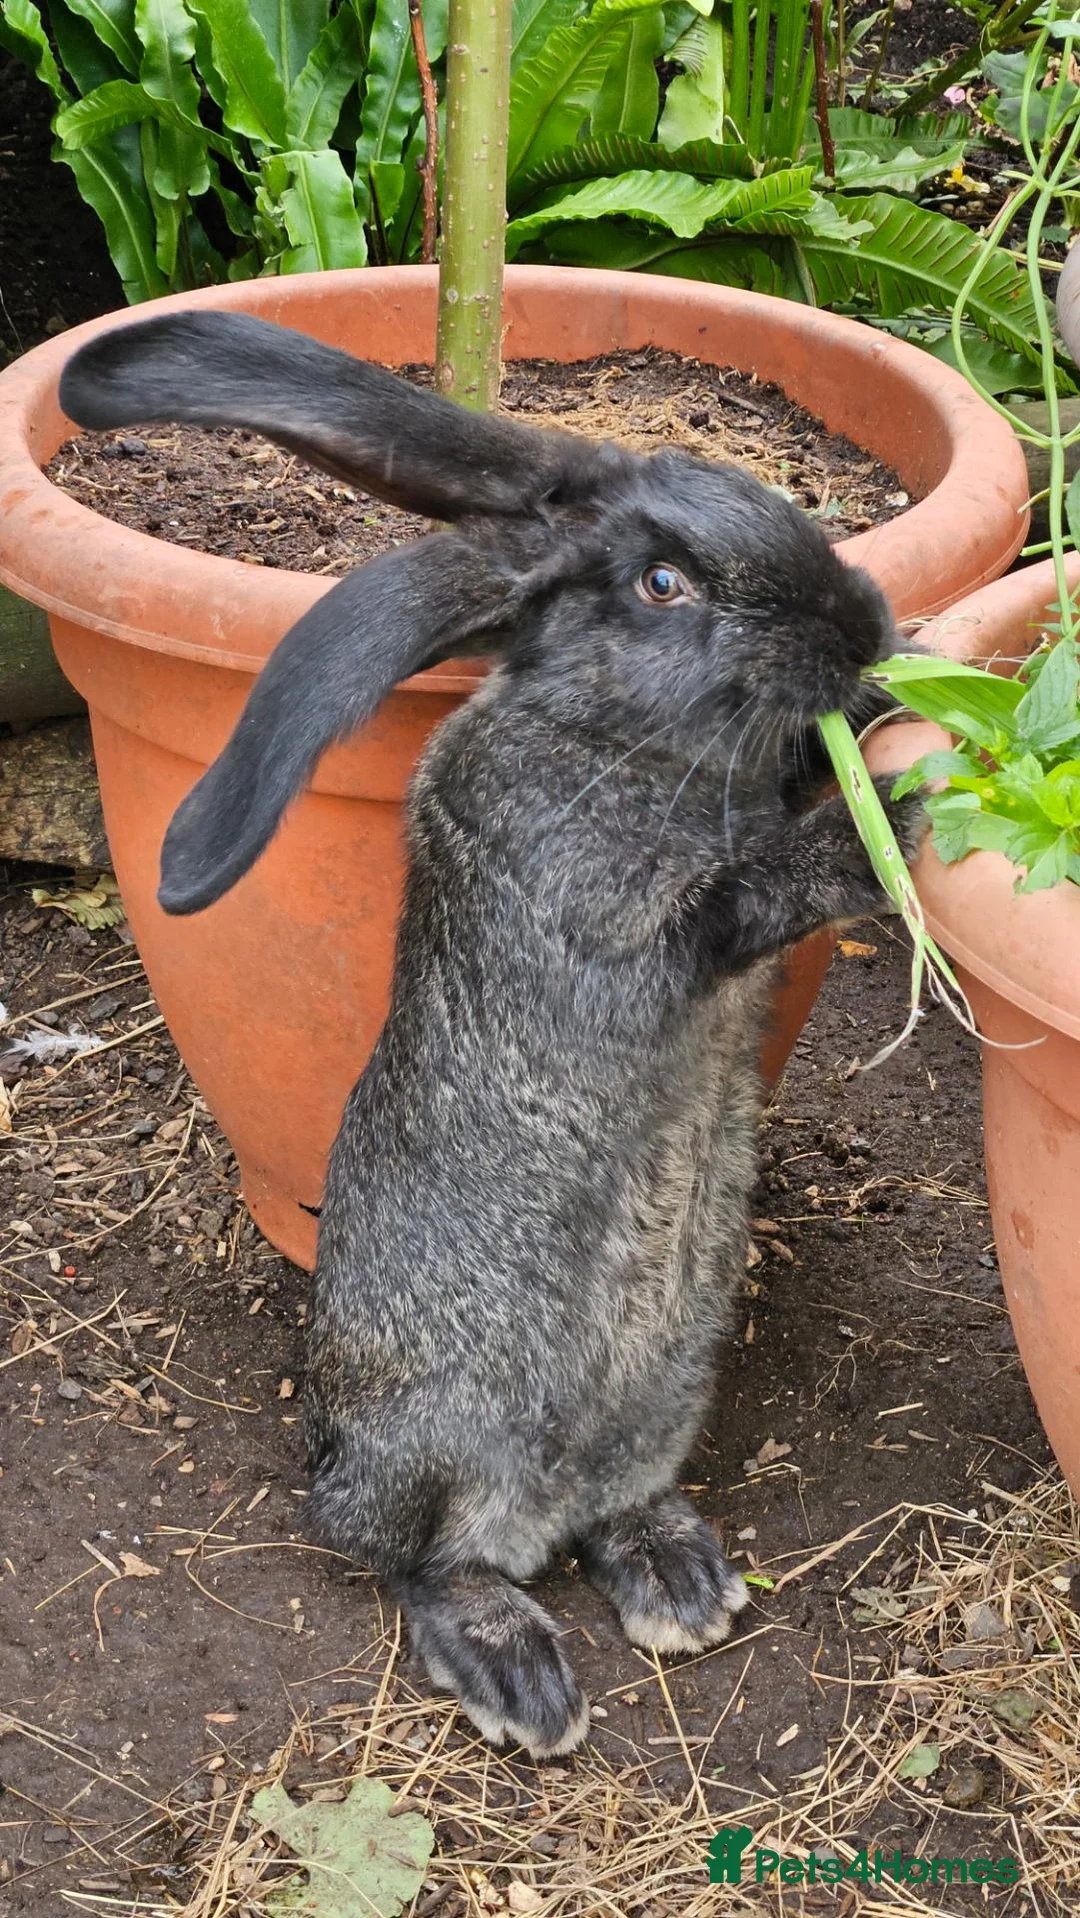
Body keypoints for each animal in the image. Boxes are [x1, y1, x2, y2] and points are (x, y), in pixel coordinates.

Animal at [60, 311, 925, 1758]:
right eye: (662, 583)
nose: (867, 621)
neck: (606, 731)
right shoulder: (606, 917)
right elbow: (744, 897)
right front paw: (894, 815)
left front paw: (892, 714)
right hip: (449, 1433)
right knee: (414, 1561)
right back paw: (521, 1673)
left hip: (666, 1388)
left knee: (607, 1506)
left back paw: (680, 1584)